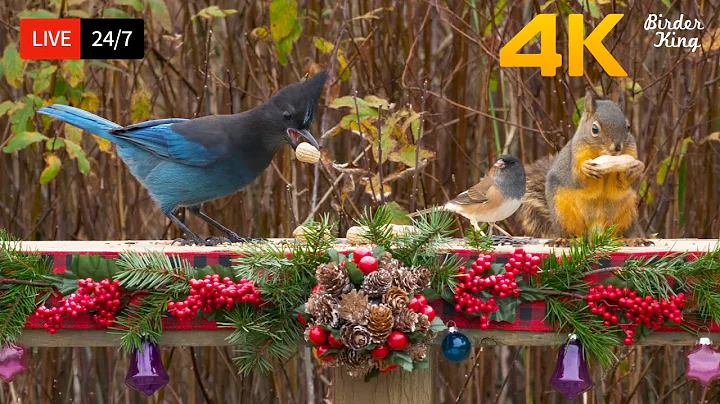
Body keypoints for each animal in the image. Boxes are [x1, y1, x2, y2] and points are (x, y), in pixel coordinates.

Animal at [518, 89, 650, 246]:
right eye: (594, 129)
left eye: (628, 127)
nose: (617, 148)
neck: (602, 153)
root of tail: (595, 234)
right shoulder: (576, 157)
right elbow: (580, 181)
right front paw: (586, 169)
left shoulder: (630, 151)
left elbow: (620, 183)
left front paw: (636, 167)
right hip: (563, 212)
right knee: (576, 235)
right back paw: (565, 240)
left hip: (626, 213)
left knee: (615, 236)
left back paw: (631, 239)